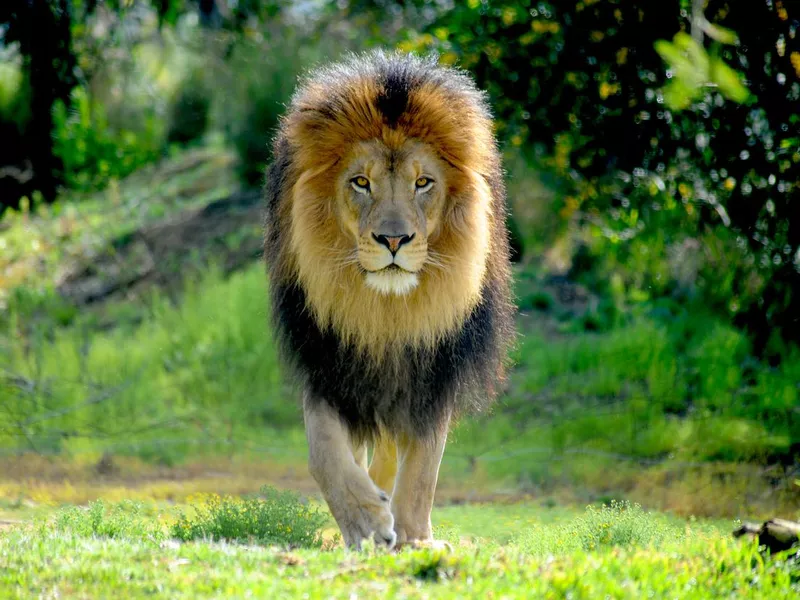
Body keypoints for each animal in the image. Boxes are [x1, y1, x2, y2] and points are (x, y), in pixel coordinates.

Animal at [262, 50, 512, 548]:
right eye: (361, 182)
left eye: (423, 183)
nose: (393, 240)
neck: (386, 312)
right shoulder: (329, 360)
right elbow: (324, 451)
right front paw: (365, 522)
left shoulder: (435, 370)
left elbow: (422, 468)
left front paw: (414, 537)